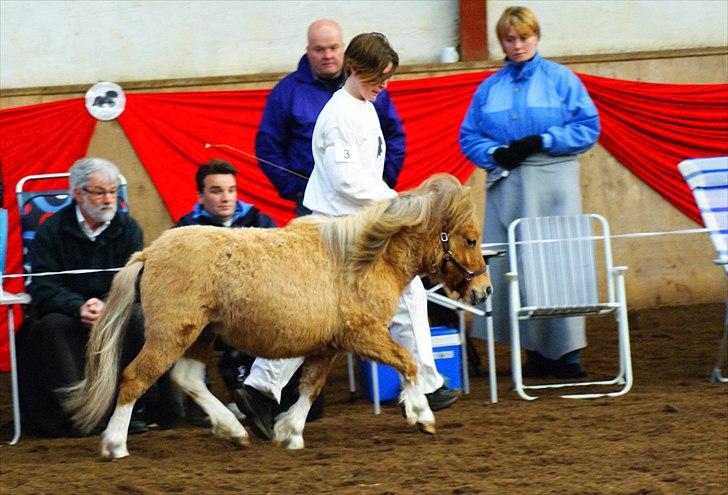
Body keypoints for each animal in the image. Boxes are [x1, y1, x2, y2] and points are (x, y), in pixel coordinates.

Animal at [64, 173, 490, 458]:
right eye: (470, 239)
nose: (483, 290)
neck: (365, 258)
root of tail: (149, 253)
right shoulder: (363, 334)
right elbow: (407, 361)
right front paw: (422, 415)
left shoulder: (328, 345)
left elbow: (310, 388)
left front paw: (290, 432)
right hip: (172, 334)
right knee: (134, 378)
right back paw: (115, 444)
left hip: (201, 334)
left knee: (188, 379)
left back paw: (234, 430)